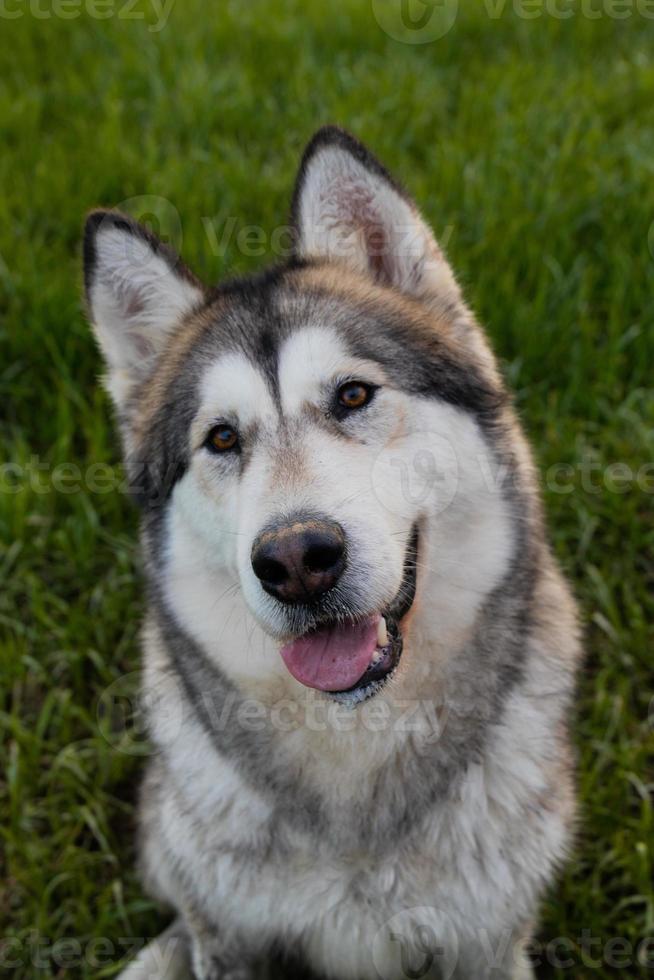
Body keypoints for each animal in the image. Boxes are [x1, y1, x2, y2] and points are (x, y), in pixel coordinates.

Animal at [84, 126, 580, 976]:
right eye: (222, 439)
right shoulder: (231, 937)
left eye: (353, 394)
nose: (295, 561)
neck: (357, 737)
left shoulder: (486, 940)